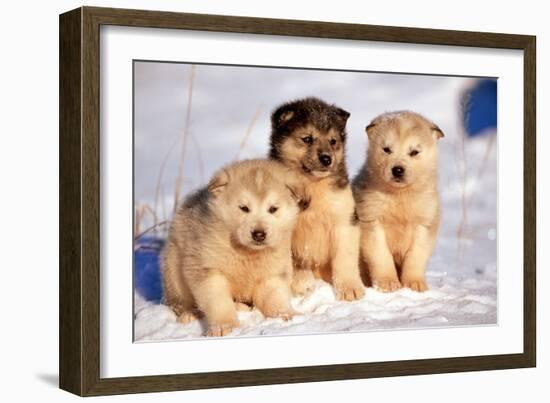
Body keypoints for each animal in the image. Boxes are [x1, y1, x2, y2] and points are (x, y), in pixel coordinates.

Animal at [163, 159, 310, 336]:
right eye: (244, 208)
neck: (247, 253)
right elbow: (218, 302)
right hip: (173, 270)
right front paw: (225, 327)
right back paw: (190, 315)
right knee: (179, 303)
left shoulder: (272, 273)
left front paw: (286, 316)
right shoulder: (208, 268)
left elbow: (275, 297)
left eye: (273, 209)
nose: (259, 234)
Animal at [270, 96, 366, 302]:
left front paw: (350, 289)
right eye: (307, 139)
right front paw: (302, 283)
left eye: (333, 141)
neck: (312, 186)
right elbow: (294, 261)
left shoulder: (345, 219)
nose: (326, 159)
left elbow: (345, 257)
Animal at [356, 112, 446, 292]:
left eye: (414, 152)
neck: (400, 196)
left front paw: (414, 284)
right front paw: (388, 283)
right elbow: (381, 255)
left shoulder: (424, 222)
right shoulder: (371, 219)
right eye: (386, 149)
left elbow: (416, 256)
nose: (397, 170)